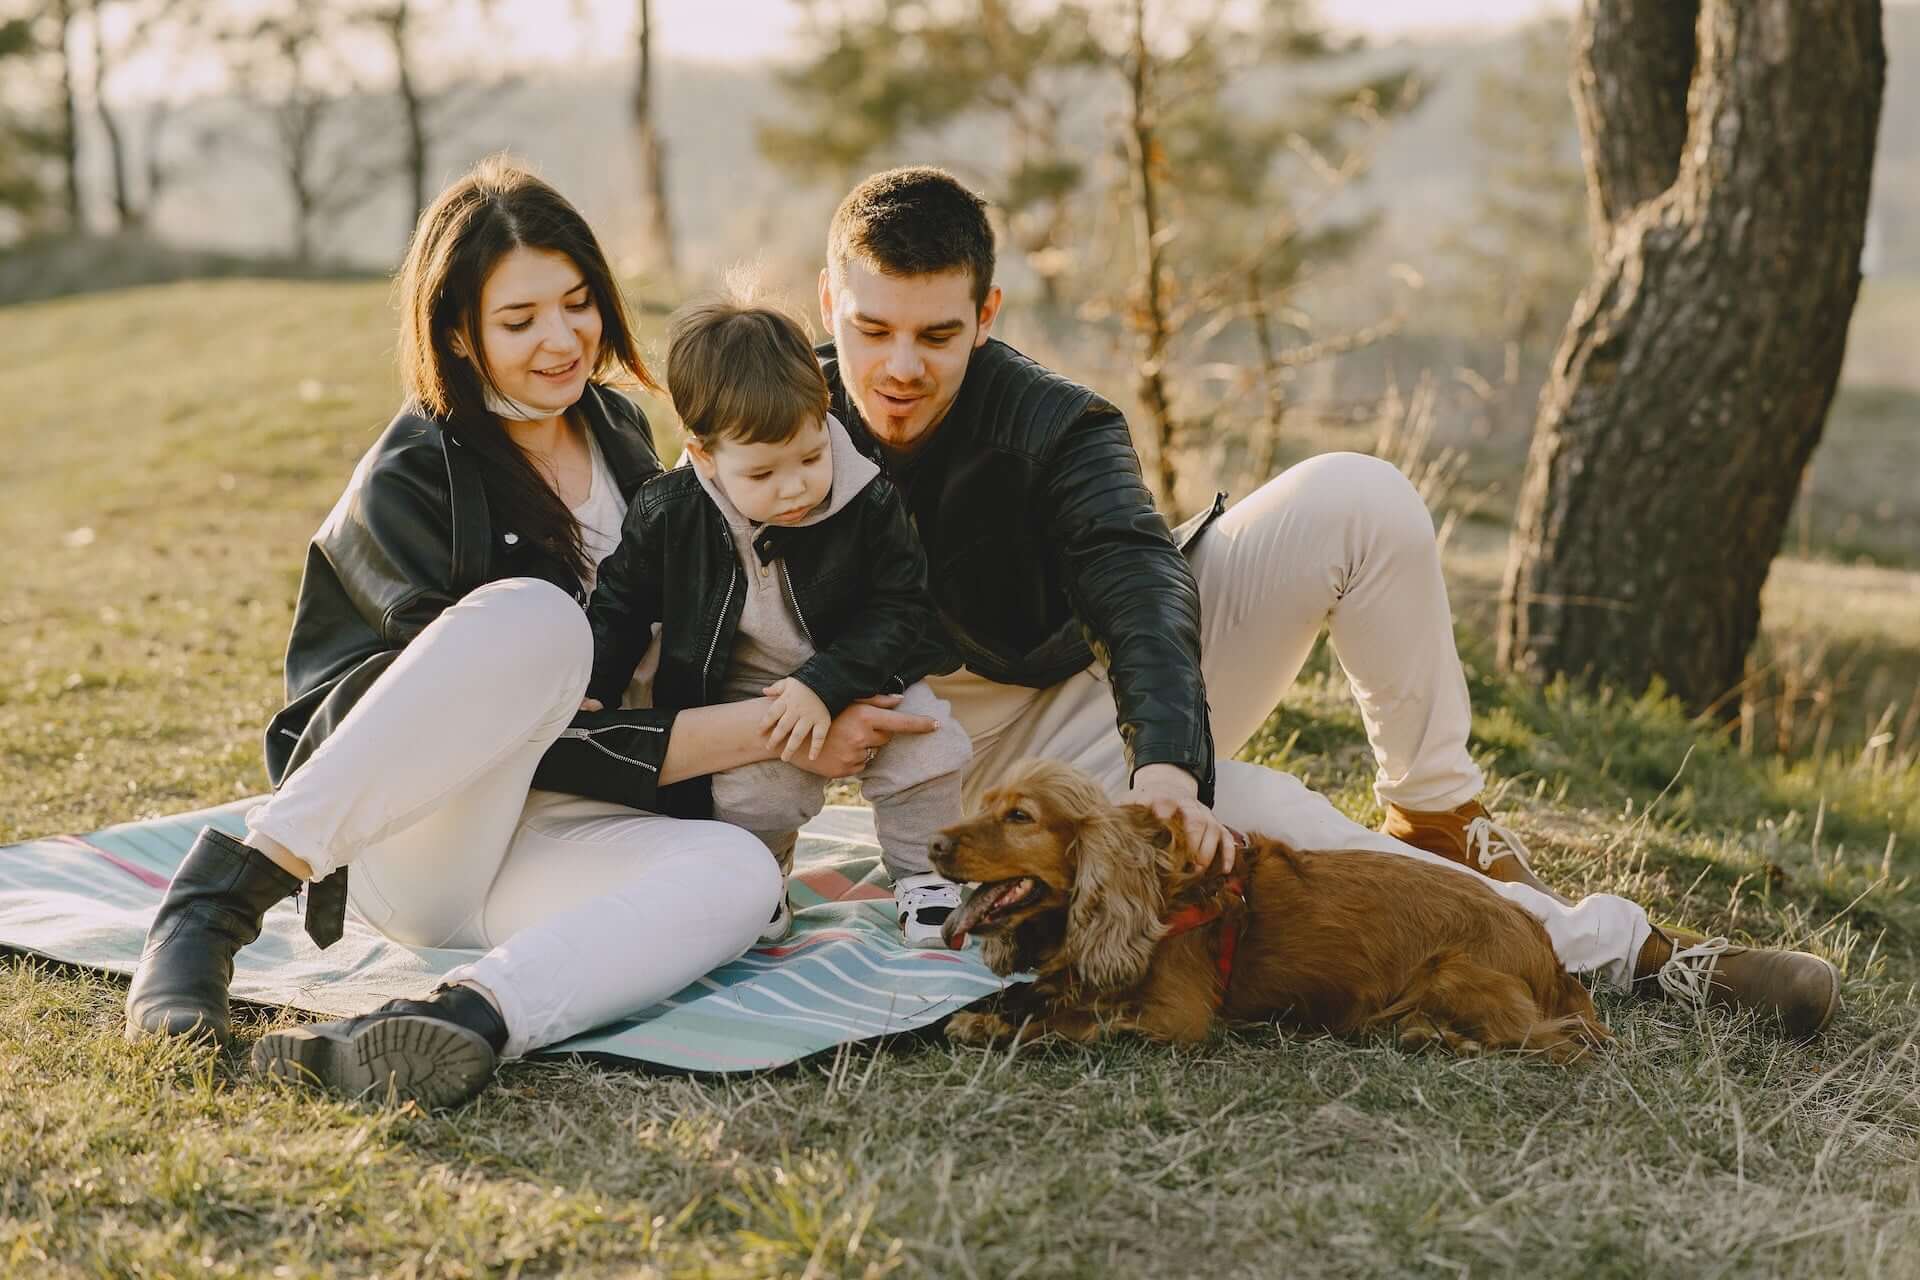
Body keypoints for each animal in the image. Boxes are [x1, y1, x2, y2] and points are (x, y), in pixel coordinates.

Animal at [929, 759, 1605, 1059]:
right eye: (983, 805)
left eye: (1020, 817)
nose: (933, 844)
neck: (1156, 894)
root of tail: (1549, 955)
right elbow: (1040, 992)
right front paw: (991, 1012)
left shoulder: (1178, 1016)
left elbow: (1073, 1021)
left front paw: (1001, 1030)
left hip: (1452, 972)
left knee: (1549, 1040)